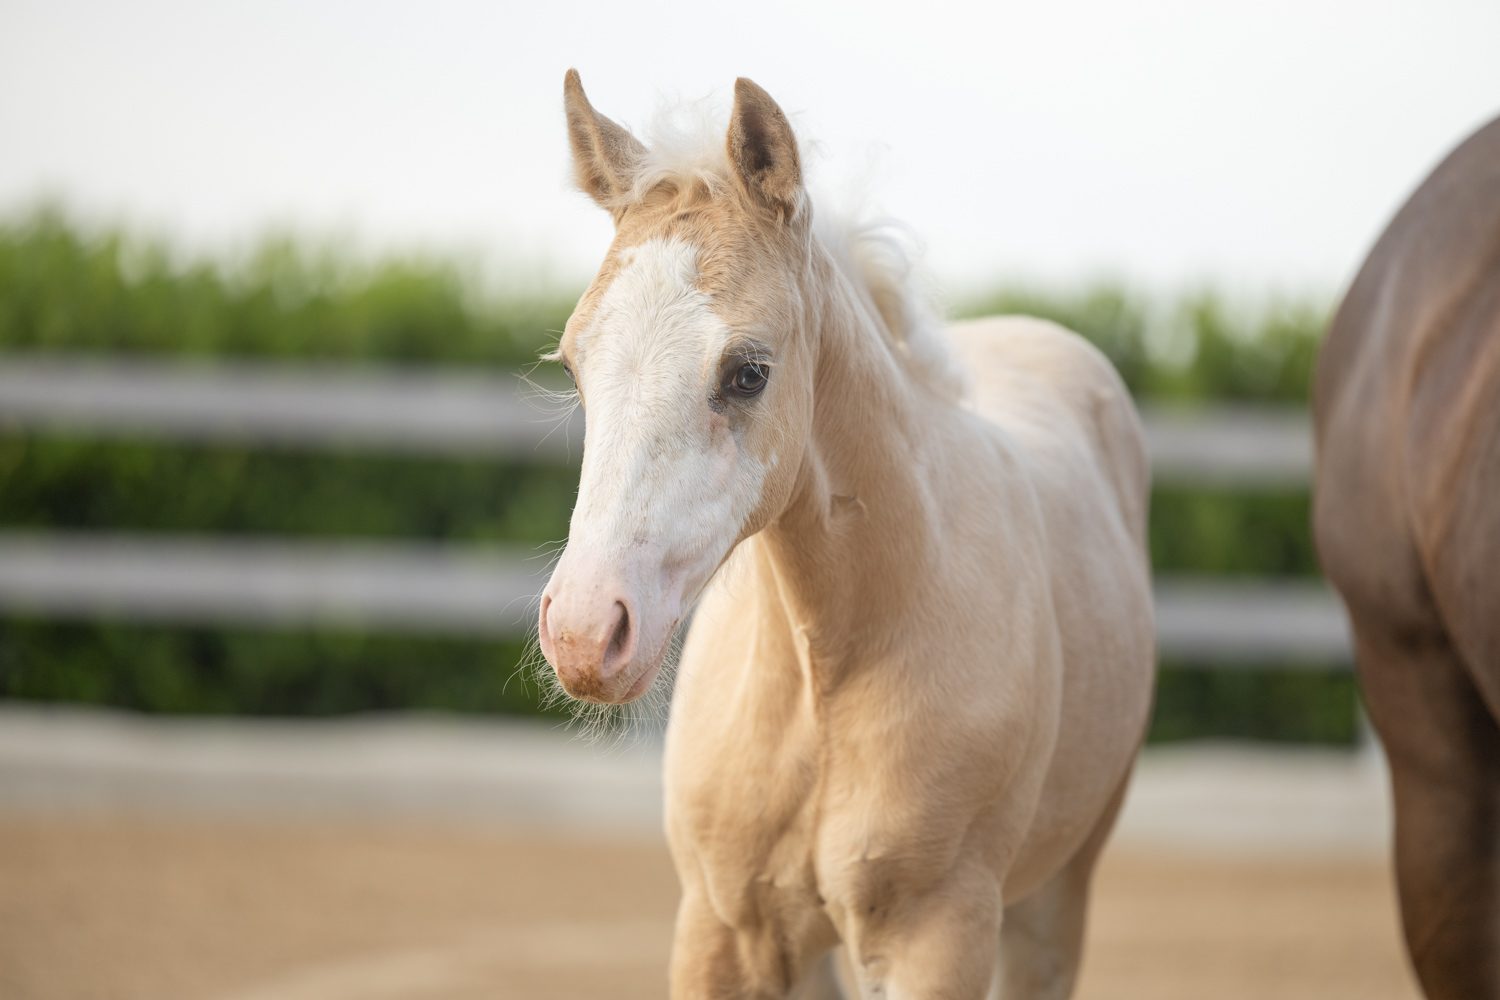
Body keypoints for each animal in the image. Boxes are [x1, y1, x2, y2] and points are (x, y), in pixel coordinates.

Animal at [536, 71, 1156, 999]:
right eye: (576, 364)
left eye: (747, 372)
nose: (583, 631)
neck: (826, 671)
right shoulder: (719, 929)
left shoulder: (939, 937)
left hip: (1054, 894)